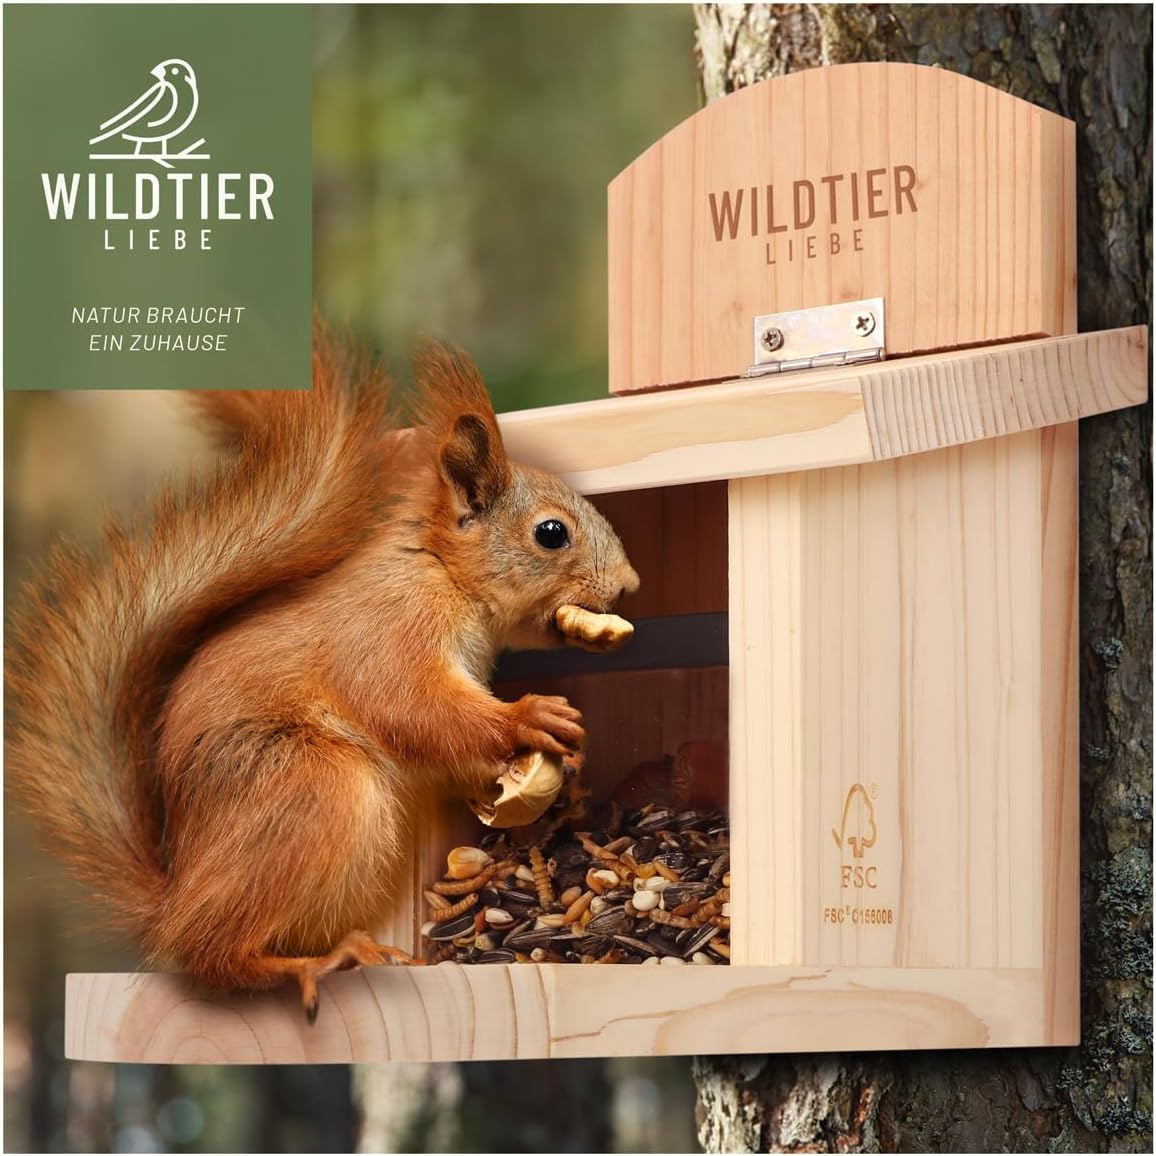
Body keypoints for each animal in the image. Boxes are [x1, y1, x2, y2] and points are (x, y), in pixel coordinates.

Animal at [5, 336, 639, 1020]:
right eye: (551, 533)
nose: (629, 584)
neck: (440, 572)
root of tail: (171, 897)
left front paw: (546, 768)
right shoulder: (389, 631)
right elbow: (414, 708)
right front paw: (530, 716)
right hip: (311, 787)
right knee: (210, 953)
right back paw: (314, 962)